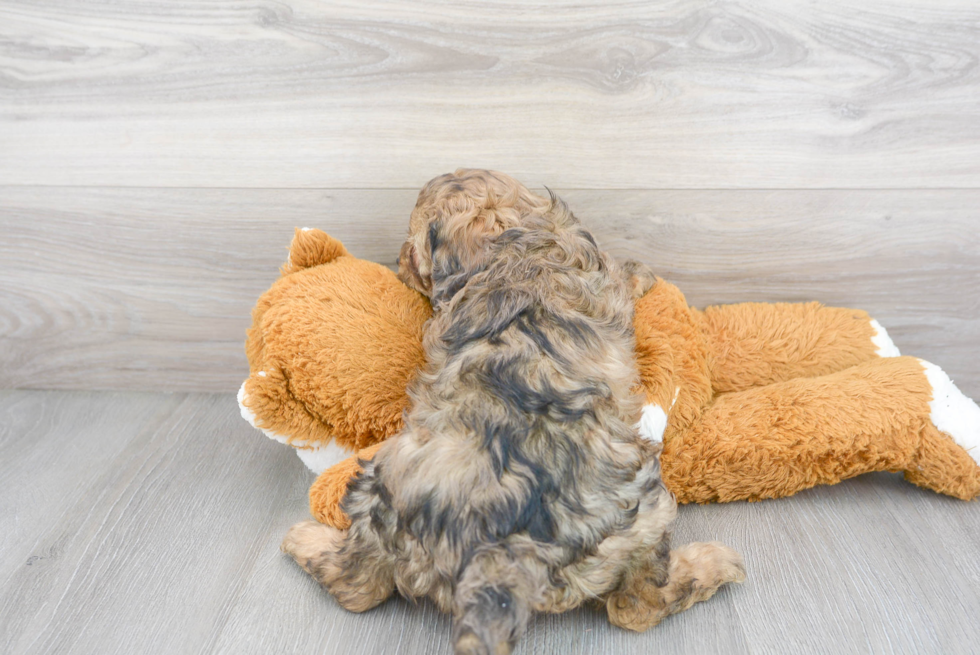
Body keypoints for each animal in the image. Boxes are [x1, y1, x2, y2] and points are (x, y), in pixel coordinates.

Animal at [284, 170, 744, 655]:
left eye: (413, 248)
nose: (397, 263)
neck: (510, 242)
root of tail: (497, 555)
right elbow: (624, 275)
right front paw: (644, 271)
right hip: (637, 513)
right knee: (636, 607)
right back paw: (711, 565)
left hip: (379, 493)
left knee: (357, 585)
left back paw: (303, 539)